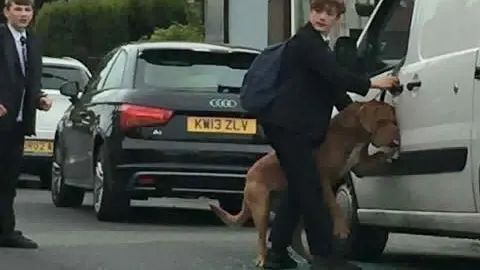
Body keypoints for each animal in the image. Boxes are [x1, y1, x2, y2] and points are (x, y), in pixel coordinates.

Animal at [208, 98, 400, 266]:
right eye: (382, 121)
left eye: (394, 121)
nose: (397, 134)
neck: (354, 132)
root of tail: (249, 174)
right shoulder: (323, 178)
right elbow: (334, 205)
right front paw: (341, 228)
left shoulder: (360, 165)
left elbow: (376, 157)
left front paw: (390, 154)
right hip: (261, 207)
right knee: (261, 237)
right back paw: (263, 259)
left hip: (296, 209)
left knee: (294, 238)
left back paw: (309, 258)